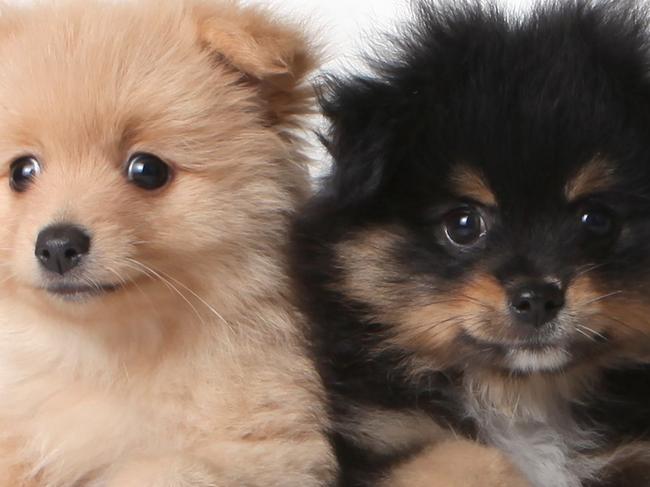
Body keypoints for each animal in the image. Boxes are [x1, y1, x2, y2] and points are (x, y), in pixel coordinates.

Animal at [292, 0, 648, 487]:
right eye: (463, 224)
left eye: (597, 219)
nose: (537, 298)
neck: (523, 399)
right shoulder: (384, 435)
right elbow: (469, 457)